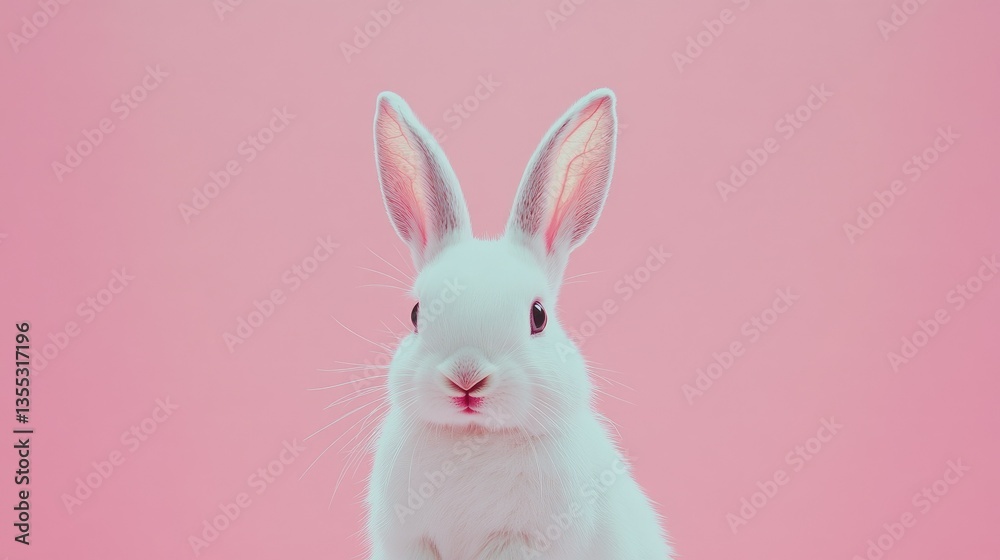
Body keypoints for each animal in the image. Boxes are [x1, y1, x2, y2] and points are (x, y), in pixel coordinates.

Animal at [365, 88, 673, 560]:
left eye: (538, 316)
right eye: (416, 314)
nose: (467, 377)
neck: (473, 439)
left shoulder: (521, 542)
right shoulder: (411, 541)